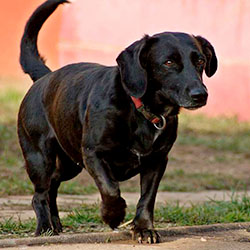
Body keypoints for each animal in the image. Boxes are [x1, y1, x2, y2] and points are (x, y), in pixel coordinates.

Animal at [18, 0, 217, 242]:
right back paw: (45, 227)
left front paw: (144, 228)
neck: (142, 110)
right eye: (168, 62)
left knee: (52, 187)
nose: (201, 95)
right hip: (40, 158)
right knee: (40, 194)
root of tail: (45, 76)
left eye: (200, 61)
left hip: (69, 163)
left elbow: (147, 198)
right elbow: (110, 189)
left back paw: (55, 224)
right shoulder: (93, 154)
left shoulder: (157, 161)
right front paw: (113, 215)